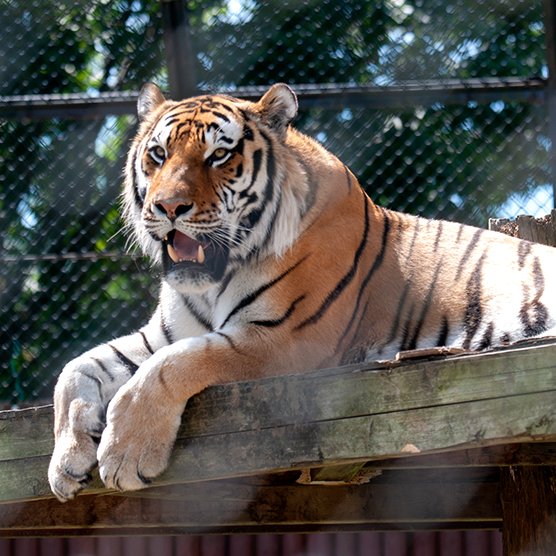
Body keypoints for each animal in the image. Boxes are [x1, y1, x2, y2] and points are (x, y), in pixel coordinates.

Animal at [46, 83, 556, 504]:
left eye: (217, 156)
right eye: (157, 153)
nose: (167, 206)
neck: (213, 282)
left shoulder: (282, 339)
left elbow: (172, 366)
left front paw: (124, 454)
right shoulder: (165, 332)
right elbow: (75, 370)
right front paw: (66, 462)